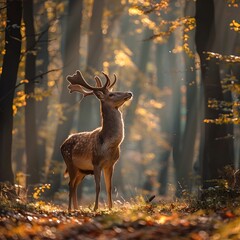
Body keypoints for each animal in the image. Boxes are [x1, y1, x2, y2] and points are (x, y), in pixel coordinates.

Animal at [60, 70, 132, 211]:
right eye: (111, 94)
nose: (129, 93)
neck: (109, 145)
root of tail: (63, 144)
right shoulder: (96, 162)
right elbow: (98, 187)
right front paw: (95, 208)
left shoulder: (111, 164)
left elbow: (109, 187)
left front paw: (110, 208)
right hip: (69, 162)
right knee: (70, 184)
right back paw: (70, 209)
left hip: (82, 170)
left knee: (75, 185)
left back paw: (77, 208)